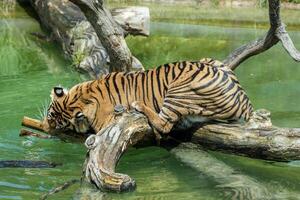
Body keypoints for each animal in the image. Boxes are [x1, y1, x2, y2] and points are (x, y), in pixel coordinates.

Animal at [45, 57, 253, 136]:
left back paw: (139, 105)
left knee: (165, 124)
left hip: (180, 89)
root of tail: (244, 101)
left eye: (56, 123)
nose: (47, 128)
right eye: (50, 116)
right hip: (210, 61)